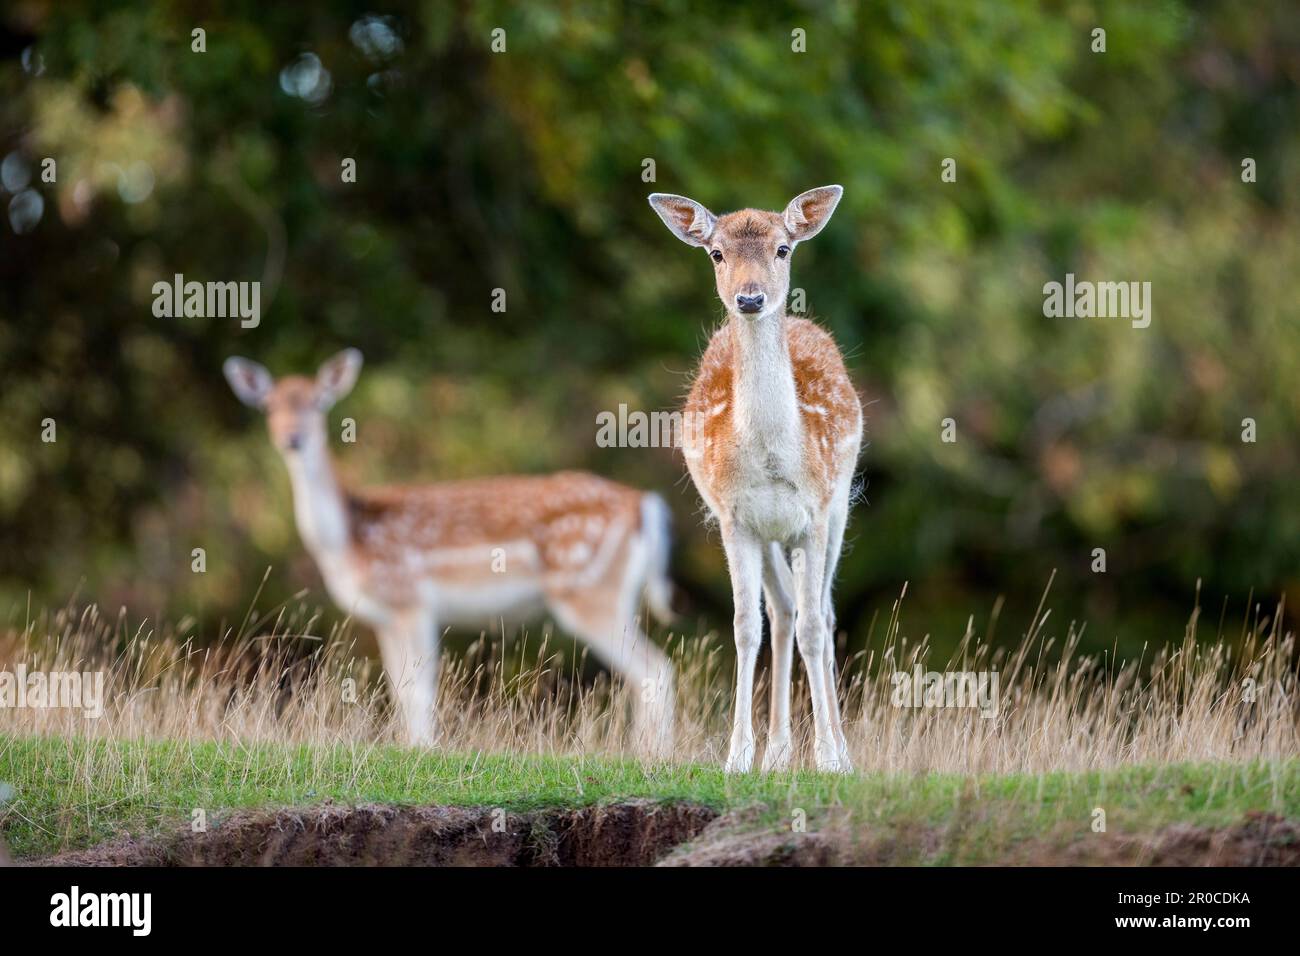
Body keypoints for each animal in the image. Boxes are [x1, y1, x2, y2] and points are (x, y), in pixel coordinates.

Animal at [222, 349, 676, 755]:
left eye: (318, 402)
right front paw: (411, 745)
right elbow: (400, 688)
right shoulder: (385, 616)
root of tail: (644, 505)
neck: (350, 540)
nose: (291, 438)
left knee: (656, 669)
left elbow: (418, 688)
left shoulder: (410, 599)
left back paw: (651, 755)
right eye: (267, 405)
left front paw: (424, 749)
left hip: (589, 591)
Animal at [649, 186, 862, 773]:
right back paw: (777, 753)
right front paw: (738, 757)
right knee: (783, 608)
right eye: (716, 253)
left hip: (839, 505)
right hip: (766, 533)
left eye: (783, 248)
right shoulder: (734, 518)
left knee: (821, 614)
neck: (771, 457)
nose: (749, 298)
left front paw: (830, 758)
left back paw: (837, 749)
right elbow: (746, 627)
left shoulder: (815, 512)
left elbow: (815, 626)